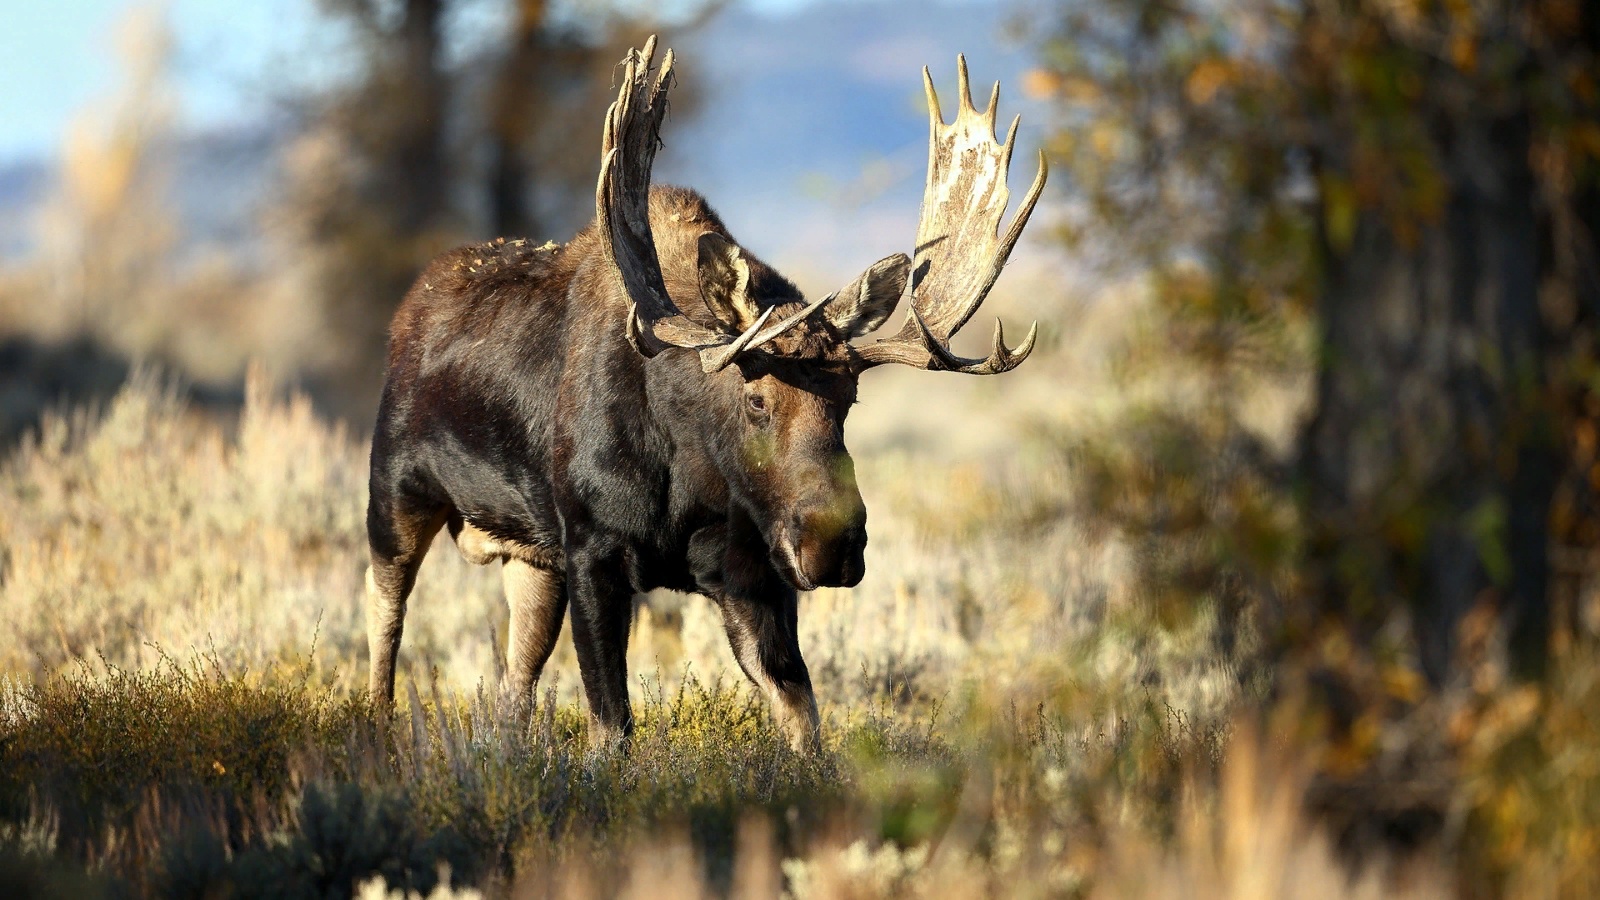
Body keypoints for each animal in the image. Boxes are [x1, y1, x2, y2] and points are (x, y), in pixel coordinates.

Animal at [360, 36, 1049, 749]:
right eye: (755, 400)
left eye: (850, 400)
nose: (834, 543)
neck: (684, 477)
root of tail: (410, 308)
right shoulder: (593, 550)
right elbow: (611, 724)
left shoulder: (752, 575)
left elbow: (802, 716)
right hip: (396, 491)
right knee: (383, 611)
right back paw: (375, 724)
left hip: (528, 553)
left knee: (515, 676)